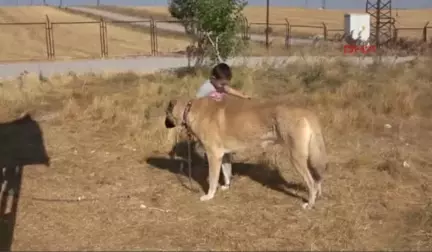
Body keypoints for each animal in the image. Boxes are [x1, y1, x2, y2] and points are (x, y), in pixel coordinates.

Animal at [165, 95, 328, 209]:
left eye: (166, 113)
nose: (165, 124)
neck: (189, 109)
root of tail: (307, 112)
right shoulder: (224, 155)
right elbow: (227, 172)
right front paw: (226, 187)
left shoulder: (213, 155)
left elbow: (212, 179)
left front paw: (209, 196)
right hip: (308, 157)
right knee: (317, 178)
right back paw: (318, 196)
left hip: (296, 158)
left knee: (311, 182)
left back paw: (310, 204)